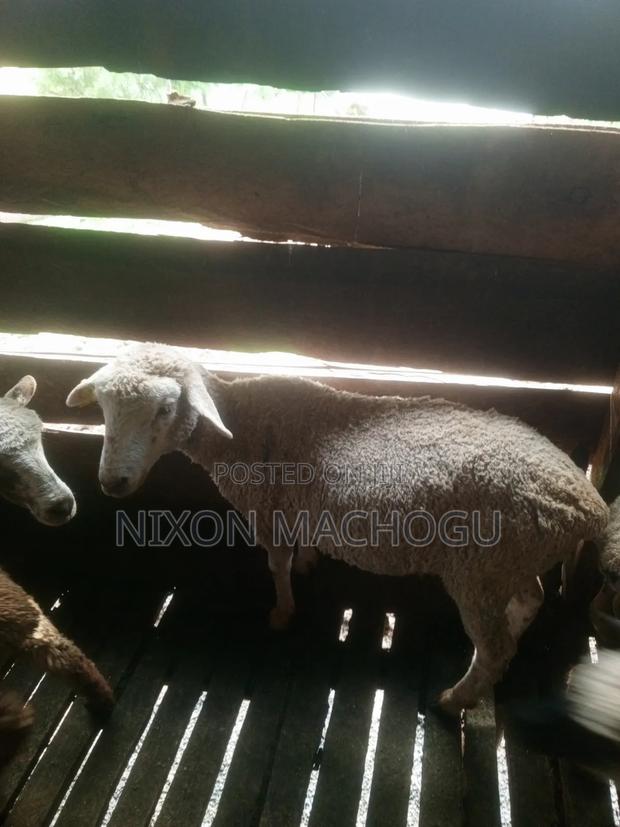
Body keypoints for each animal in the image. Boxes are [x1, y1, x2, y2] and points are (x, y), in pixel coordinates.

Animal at [66, 343, 608, 713]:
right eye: (104, 409)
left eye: (163, 409)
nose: (112, 482)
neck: (240, 424)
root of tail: (588, 504)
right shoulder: (297, 503)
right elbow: (300, 546)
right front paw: (309, 563)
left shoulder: (267, 509)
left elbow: (276, 565)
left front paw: (283, 612)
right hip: (507, 559)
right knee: (530, 600)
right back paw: (509, 640)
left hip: (478, 567)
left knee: (494, 647)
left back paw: (456, 697)